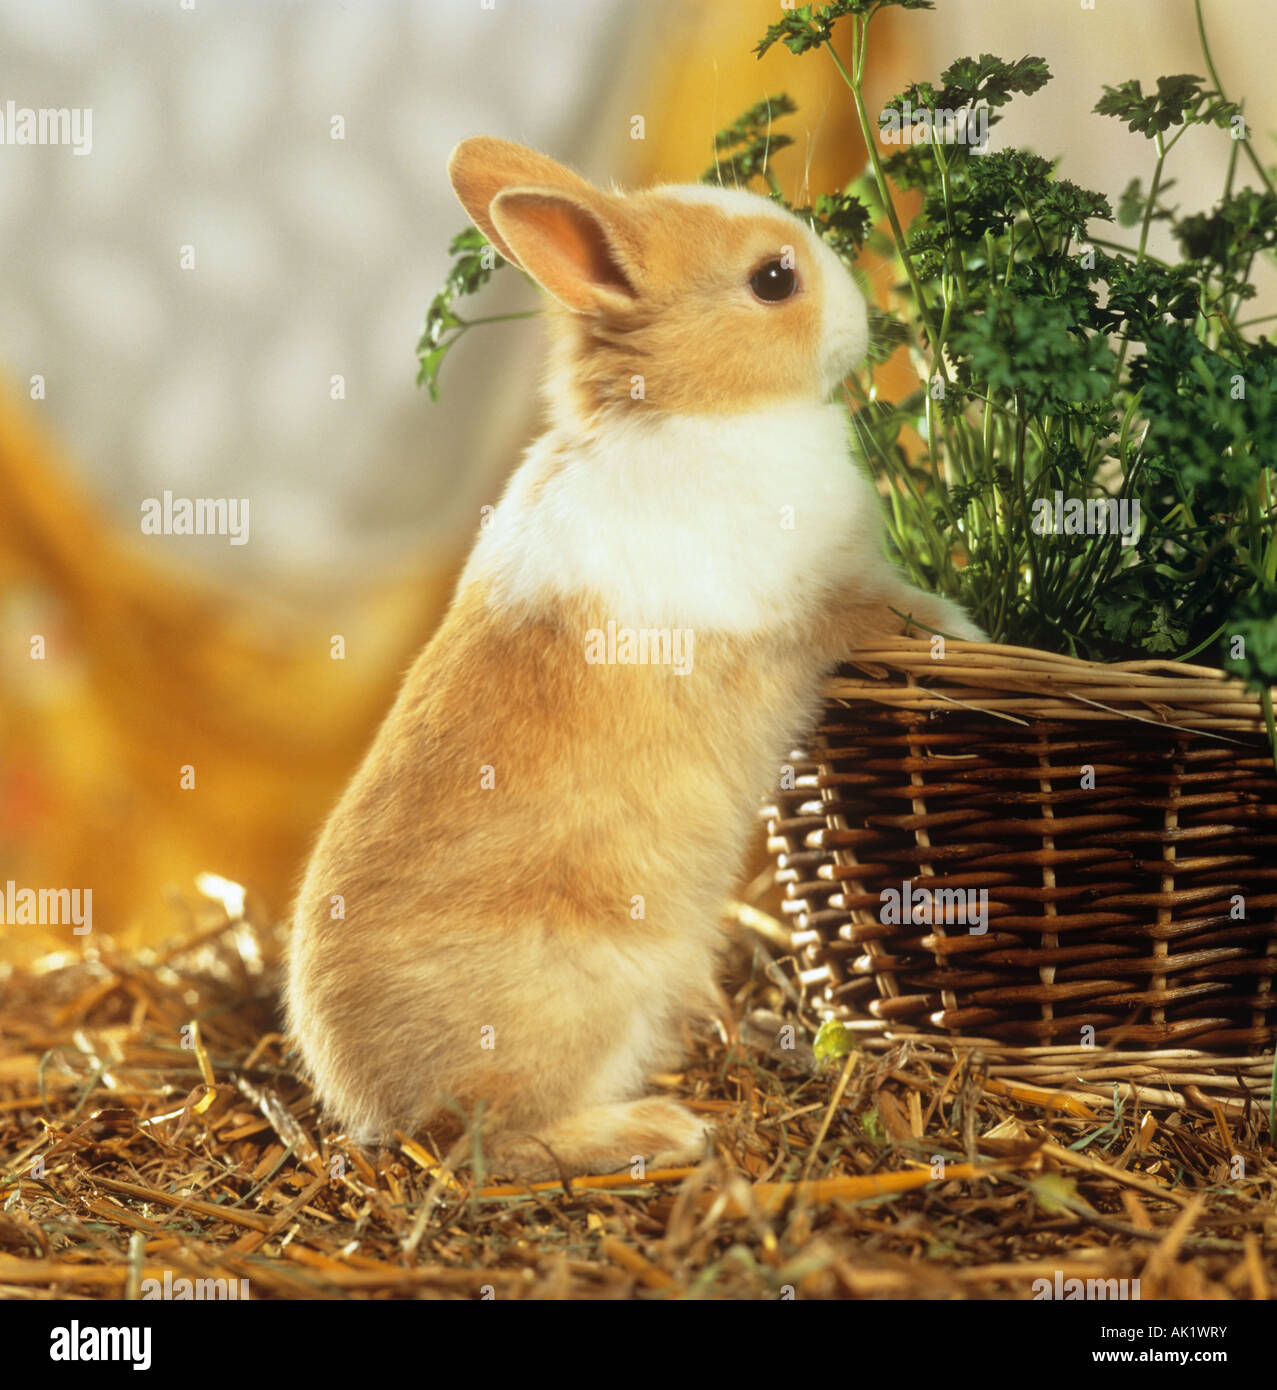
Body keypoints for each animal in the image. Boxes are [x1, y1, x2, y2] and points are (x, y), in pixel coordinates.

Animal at [284, 137, 983, 1180]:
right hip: (575, 1006)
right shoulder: (831, 602)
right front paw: (978, 633)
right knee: (496, 1141)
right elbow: (899, 611)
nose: (860, 314)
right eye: (773, 280)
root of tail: (362, 1099)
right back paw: (664, 1130)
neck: (700, 410)